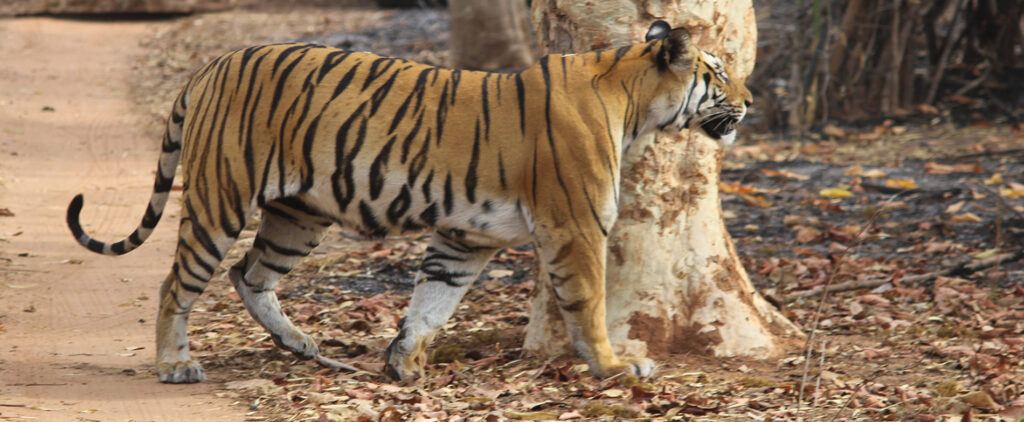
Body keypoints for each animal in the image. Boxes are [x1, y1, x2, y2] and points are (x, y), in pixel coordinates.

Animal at [66, 20, 751, 384]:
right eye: (717, 73)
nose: (748, 102)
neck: (633, 99)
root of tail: (212, 64)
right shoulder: (575, 226)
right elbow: (588, 304)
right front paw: (614, 367)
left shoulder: (466, 235)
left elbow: (433, 301)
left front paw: (404, 364)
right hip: (222, 197)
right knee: (177, 284)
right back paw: (174, 364)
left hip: (299, 214)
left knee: (249, 274)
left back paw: (300, 344)